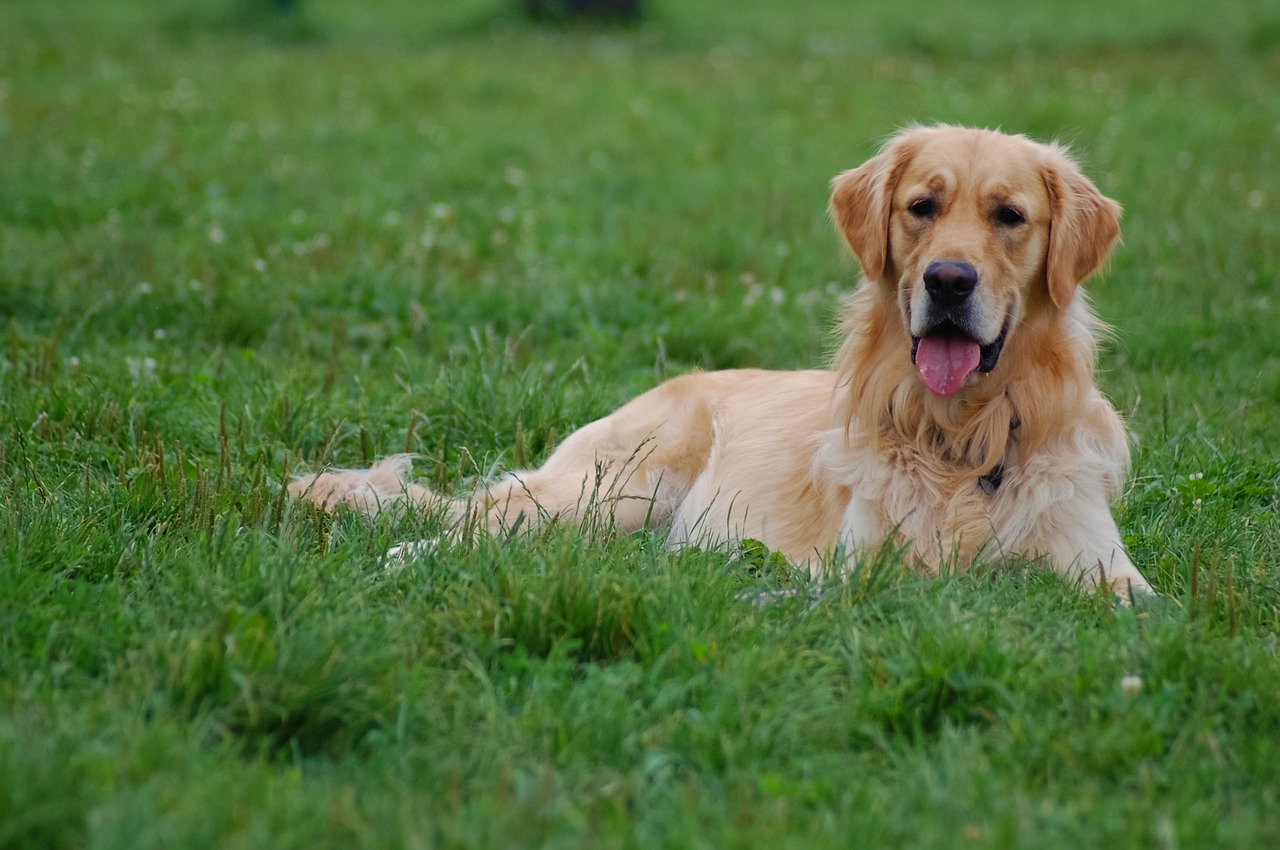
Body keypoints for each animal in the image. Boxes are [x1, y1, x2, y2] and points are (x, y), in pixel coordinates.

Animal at [294, 126, 1157, 596]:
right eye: (923, 207)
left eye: (1009, 216)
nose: (948, 280)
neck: (965, 444)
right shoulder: (866, 567)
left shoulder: (1102, 564)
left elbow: (1128, 601)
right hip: (610, 493)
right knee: (473, 525)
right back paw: (409, 559)